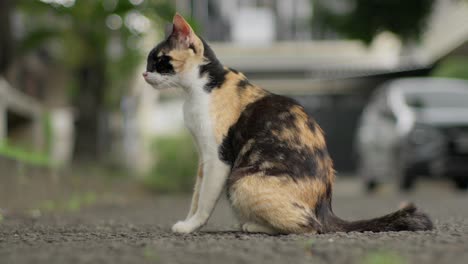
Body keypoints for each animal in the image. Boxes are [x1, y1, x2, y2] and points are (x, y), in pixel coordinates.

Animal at [142, 13, 432, 234]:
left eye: (160, 60)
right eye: (148, 60)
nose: (144, 73)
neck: (199, 90)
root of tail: (325, 207)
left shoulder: (217, 158)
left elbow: (205, 200)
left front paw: (190, 227)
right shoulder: (203, 158)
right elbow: (195, 195)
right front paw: (187, 221)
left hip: (240, 181)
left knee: (310, 227)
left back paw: (252, 226)